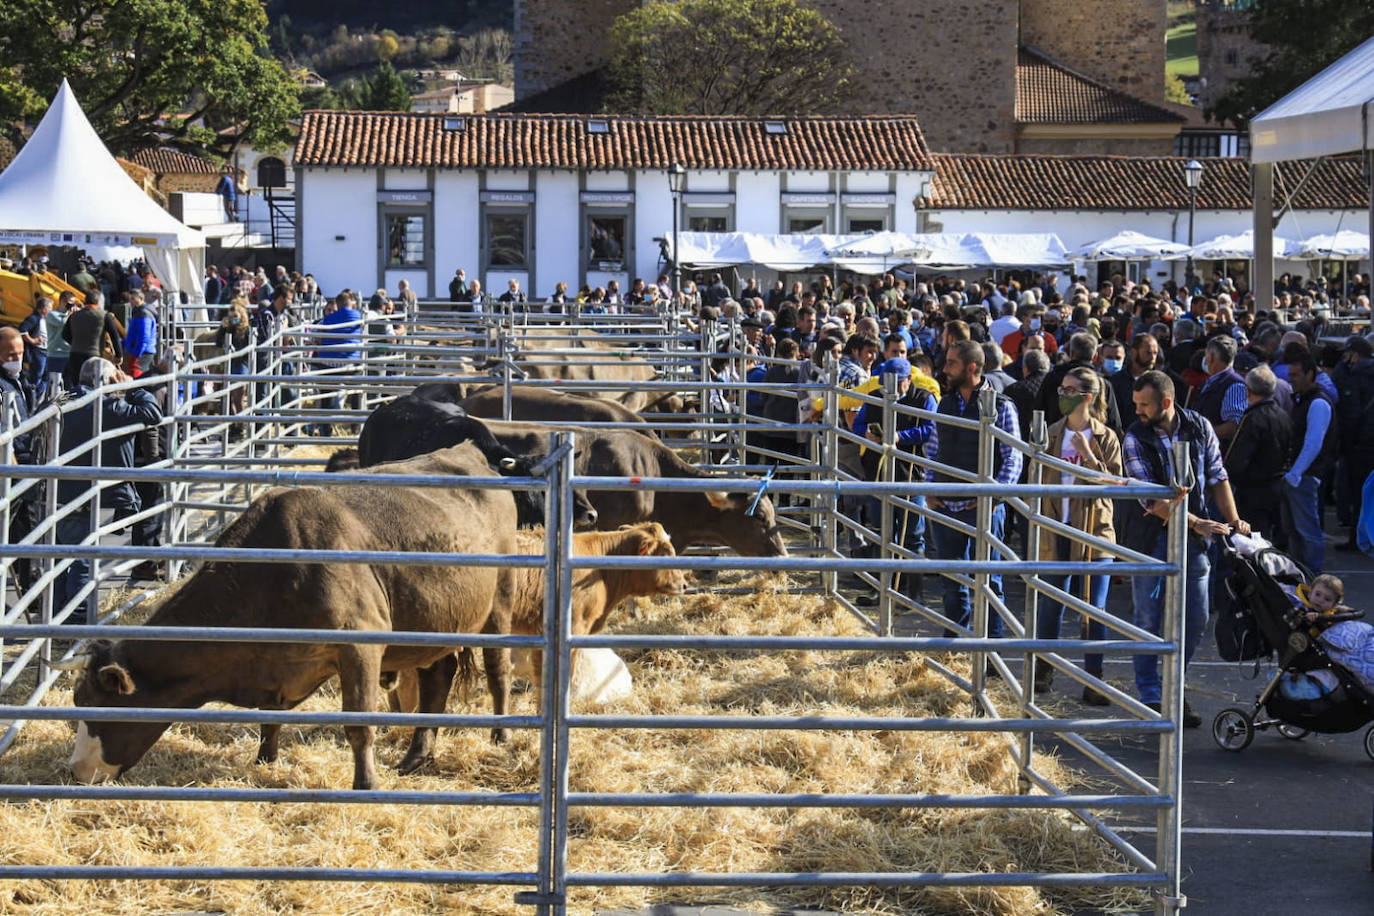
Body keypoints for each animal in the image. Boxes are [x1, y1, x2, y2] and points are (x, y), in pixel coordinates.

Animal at [63, 444, 519, 791]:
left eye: (95, 705)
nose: (77, 772)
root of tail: (470, 452)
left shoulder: (360, 643)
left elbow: (359, 724)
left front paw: (366, 784)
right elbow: (270, 718)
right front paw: (265, 759)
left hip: (499, 602)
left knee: (498, 669)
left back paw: (500, 734)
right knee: (436, 678)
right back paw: (417, 755)